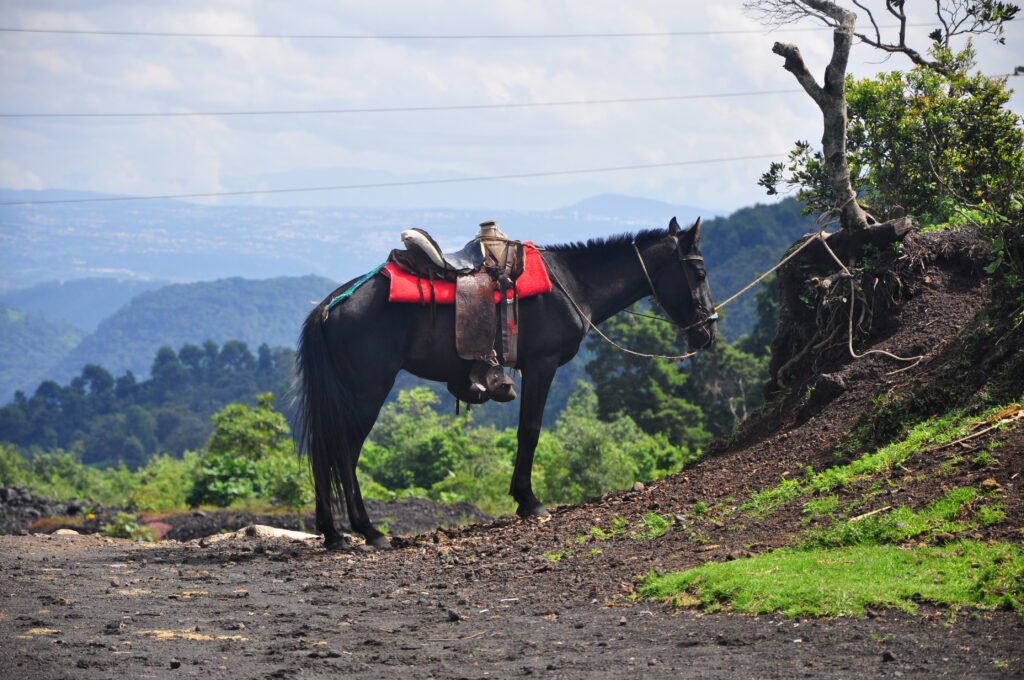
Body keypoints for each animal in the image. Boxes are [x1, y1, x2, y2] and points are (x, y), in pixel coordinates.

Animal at [292, 218, 716, 548]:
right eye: (699, 273)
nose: (708, 332)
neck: (571, 284)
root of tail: (329, 306)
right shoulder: (542, 366)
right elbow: (530, 430)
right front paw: (528, 500)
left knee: (323, 448)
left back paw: (333, 533)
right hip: (367, 390)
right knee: (345, 450)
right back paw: (369, 531)